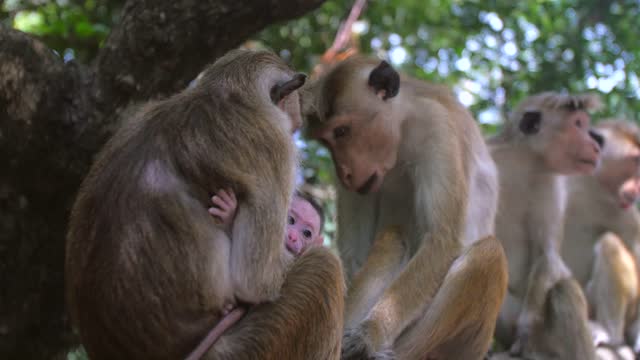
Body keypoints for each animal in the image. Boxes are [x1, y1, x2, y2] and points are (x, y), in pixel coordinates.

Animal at [65, 50, 344, 360]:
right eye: (291, 122)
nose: (295, 237)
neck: (224, 94)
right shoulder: (275, 144)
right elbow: (256, 281)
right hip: (244, 350)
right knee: (324, 266)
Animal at [304, 56, 510, 360]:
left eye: (342, 131)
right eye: (326, 141)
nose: (344, 174)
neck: (403, 127)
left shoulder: (436, 126)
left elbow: (441, 241)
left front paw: (370, 335)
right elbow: (356, 253)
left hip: (462, 344)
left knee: (488, 253)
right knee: (391, 237)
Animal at [488, 91, 604, 358]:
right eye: (578, 124)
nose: (595, 146)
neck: (526, 162)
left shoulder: (551, 183)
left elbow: (547, 253)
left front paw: (526, 326)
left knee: (563, 288)